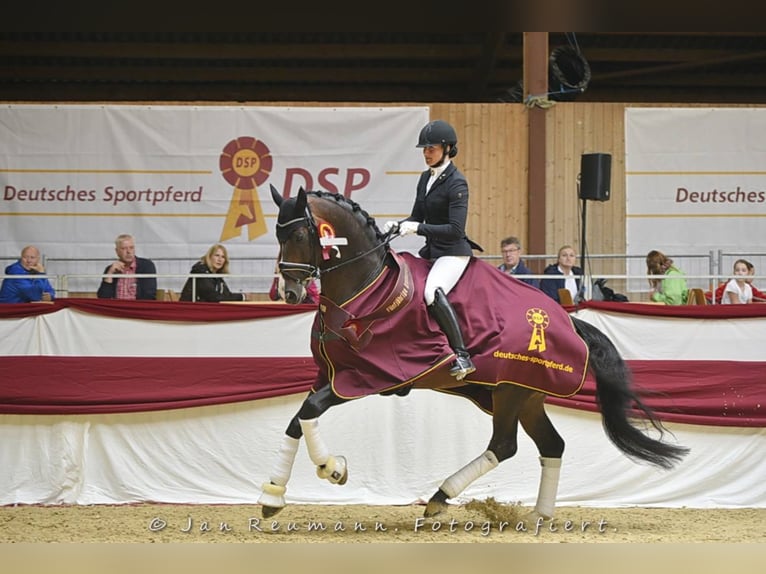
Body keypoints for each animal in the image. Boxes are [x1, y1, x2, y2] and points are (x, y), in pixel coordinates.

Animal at [258, 189, 688, 520]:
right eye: (279, 235)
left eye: (300, 234)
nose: (290, 293)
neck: (364, 289)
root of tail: (567, 319)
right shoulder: (328, 374)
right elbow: (297, 421)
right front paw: (273, 495)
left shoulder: (364, 378)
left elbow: (309, 412)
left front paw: (332, 469)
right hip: (523, 394)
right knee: (550, 445)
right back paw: (539, 516)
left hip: (512, 390)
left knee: (505, 445)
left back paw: (440, 498)